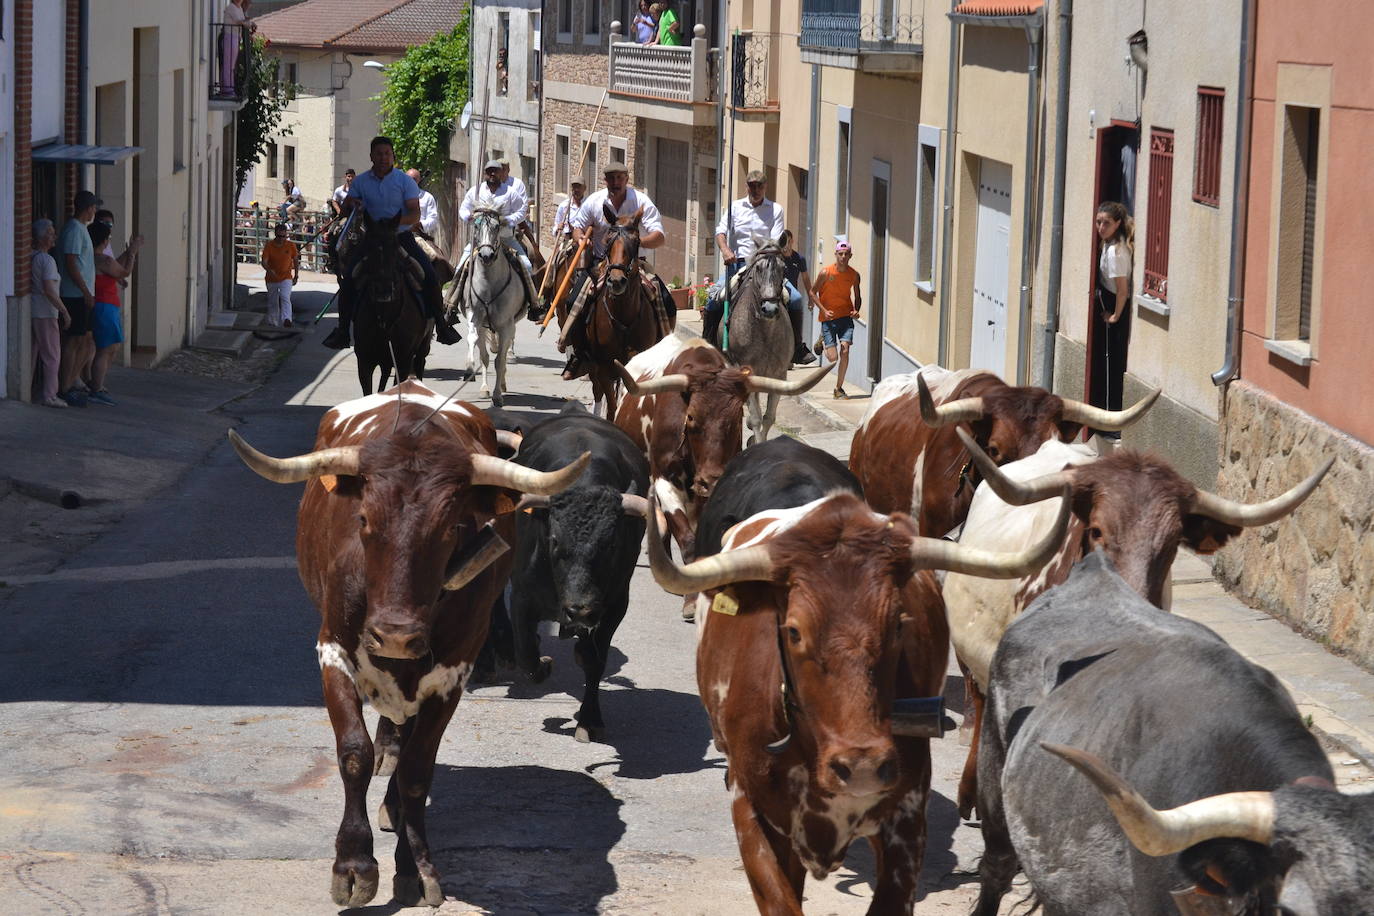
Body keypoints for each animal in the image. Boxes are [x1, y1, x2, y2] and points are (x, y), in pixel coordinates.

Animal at [226, 379, 590, 911]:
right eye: (362, 519)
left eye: (453, 527)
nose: (395, 636)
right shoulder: (333, 651)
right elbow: (353, 753)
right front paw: (354, 864)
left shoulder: (451, 673)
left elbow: (419, 769)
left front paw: (414, 867)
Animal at [456, 211, 530, 409]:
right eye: (476, 226)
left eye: (497, 227)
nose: (486, 255)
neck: (489, 284)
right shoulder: (475, 318)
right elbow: (480, 351)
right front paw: (470, 370)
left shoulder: (505, 326)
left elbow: (500, 361)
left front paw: (497, 396)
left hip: (510, 326)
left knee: (502, 357)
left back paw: (502, 385)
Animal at [557, 205, 676, 417]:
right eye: (607, 241)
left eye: (636, 242)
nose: (616, 281)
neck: (623, 315)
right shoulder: (604, 365)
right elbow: (612, 405)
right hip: (593, 365)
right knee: (597, 391)